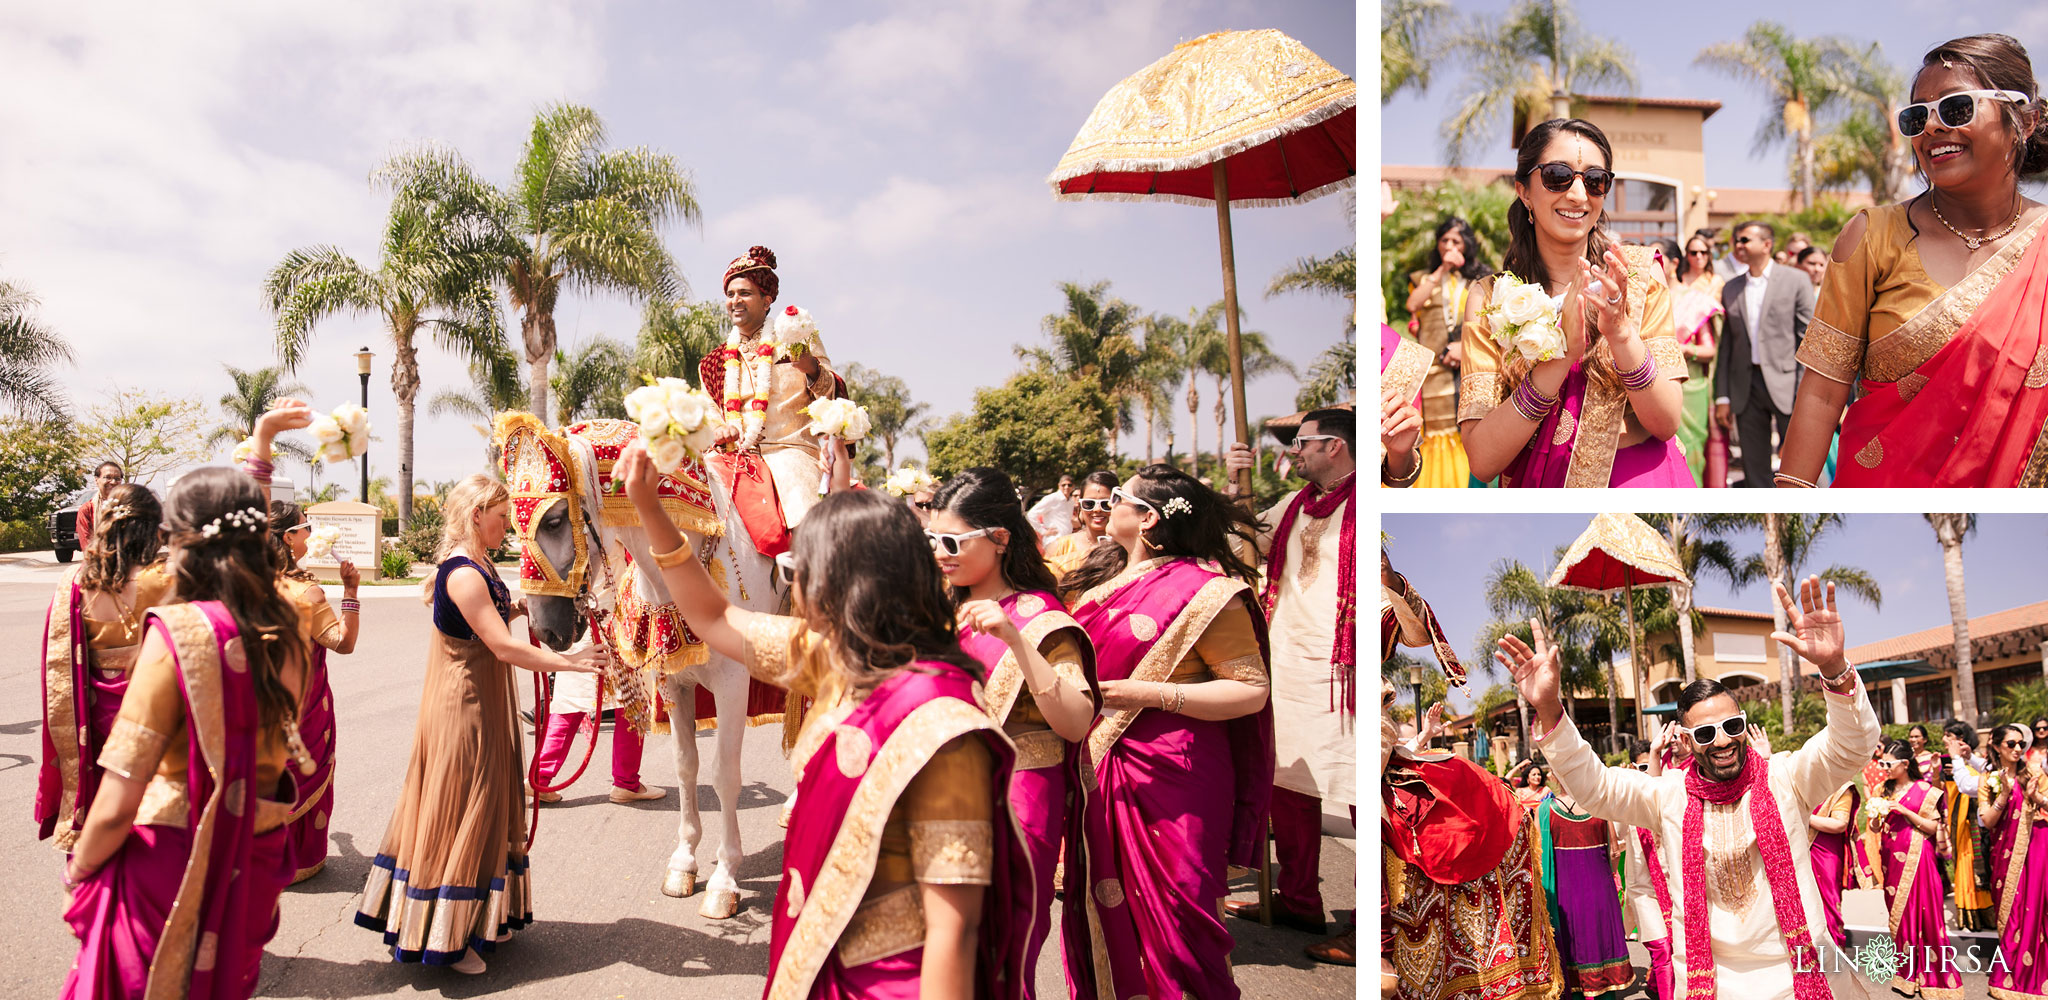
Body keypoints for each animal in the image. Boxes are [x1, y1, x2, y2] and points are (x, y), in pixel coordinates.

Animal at [497, 415, 782, 922]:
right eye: (514, 522)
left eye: (554, 519)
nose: (543, 628)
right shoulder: (676, 681)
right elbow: (687, 767)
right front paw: (684, 863)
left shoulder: (733, 683)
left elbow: (724, 775)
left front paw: (725, 879)